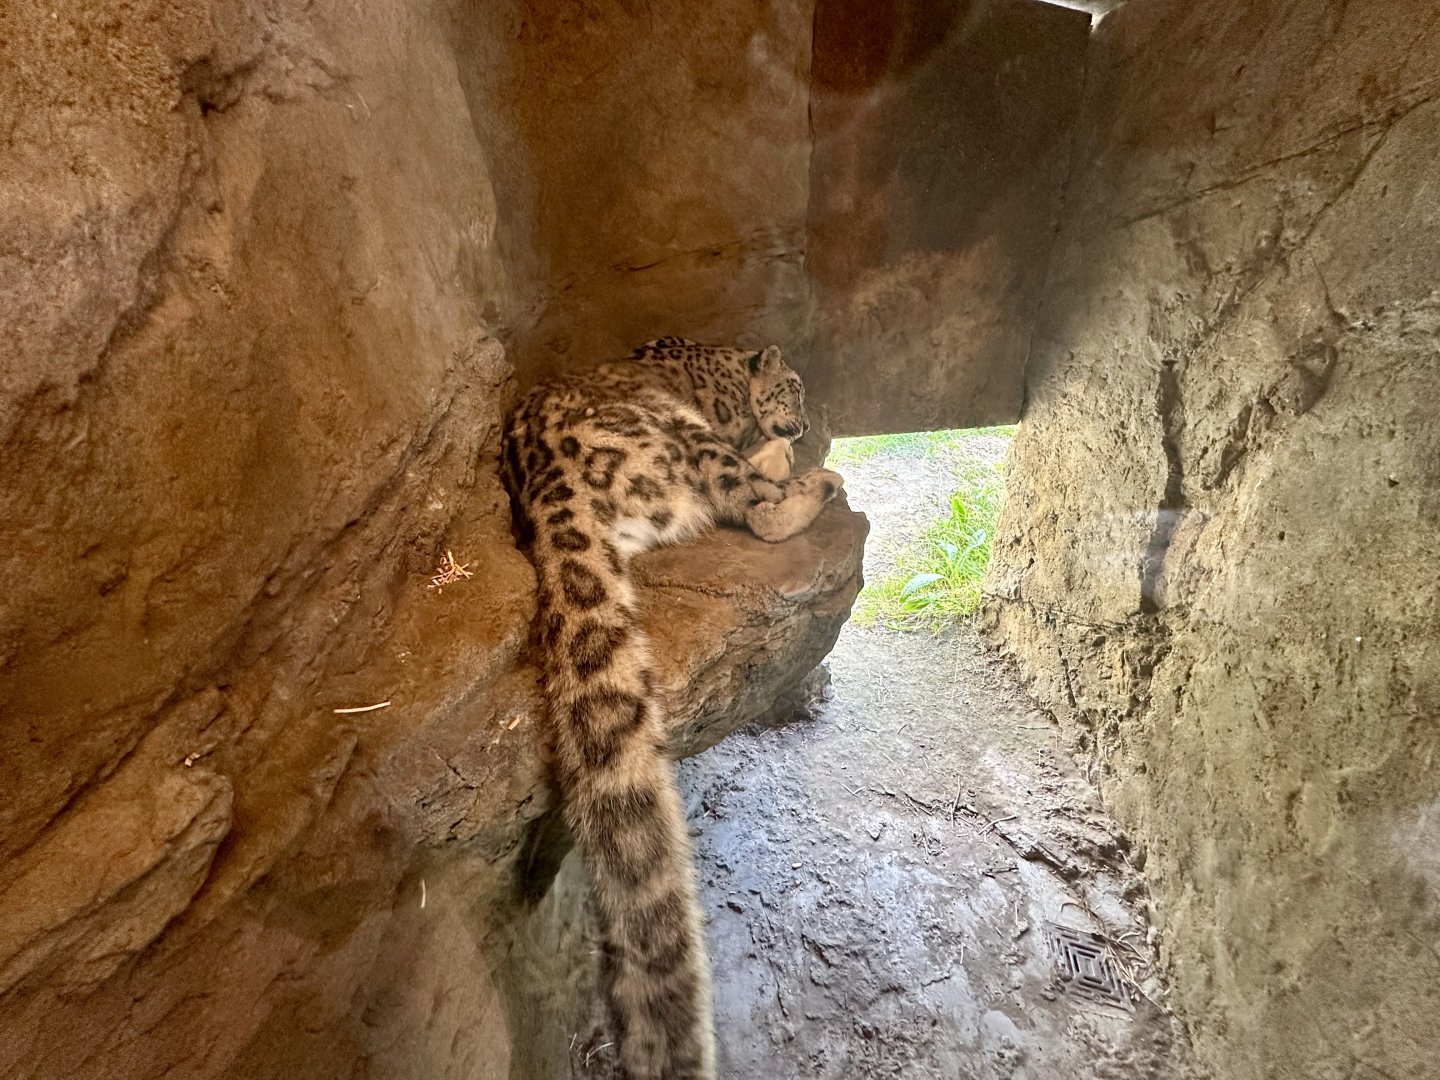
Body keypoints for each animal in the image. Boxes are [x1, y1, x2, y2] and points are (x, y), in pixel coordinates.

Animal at [501, 337, 843, 1080]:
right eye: (794, 389)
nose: (803, 423)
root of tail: (545, 487)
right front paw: (781, 449)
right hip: (686, 441)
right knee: (757, 508)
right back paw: (813, 481)